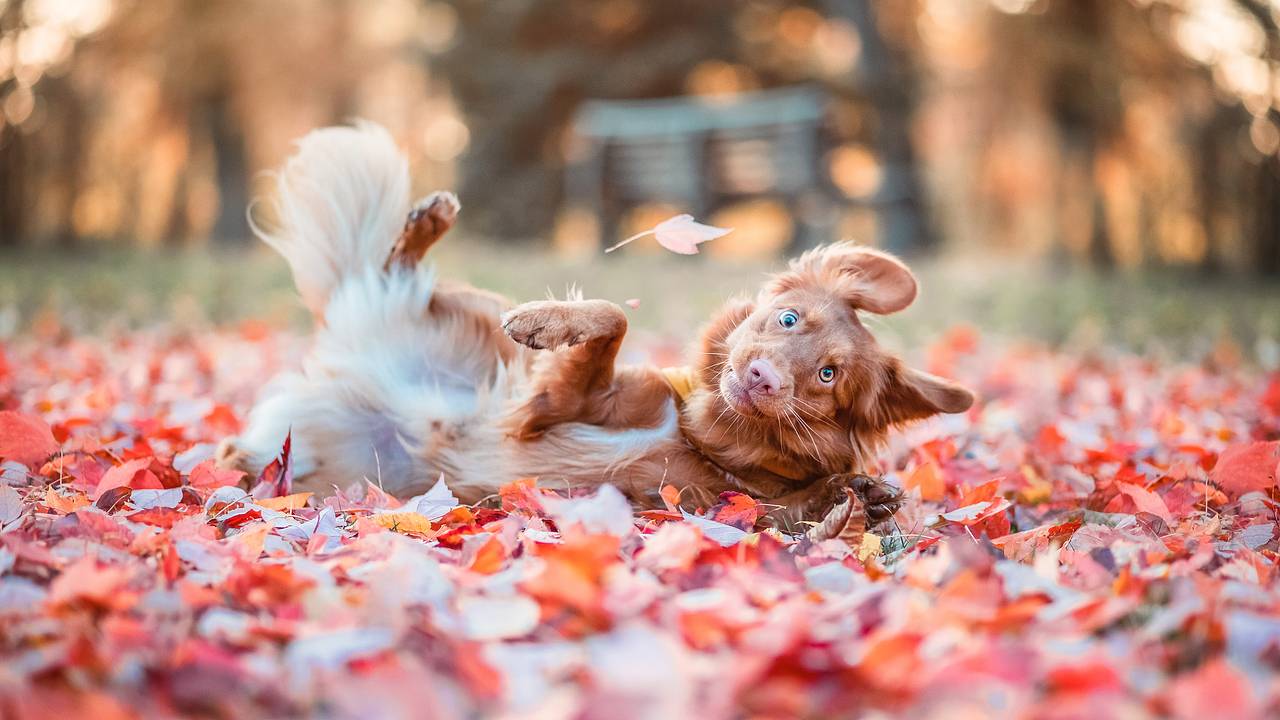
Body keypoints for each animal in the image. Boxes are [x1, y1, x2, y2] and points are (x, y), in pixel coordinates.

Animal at [220, 124, 972, 532]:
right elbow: (612, 316)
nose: (761, 377)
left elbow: (800, 509)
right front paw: (545, 323)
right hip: (471, 311)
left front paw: (862, 502)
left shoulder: (702, 508)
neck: (702, 436)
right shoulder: (563, 402)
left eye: (827, 376)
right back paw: (427, 221)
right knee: (394, 269)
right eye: (788, 318)